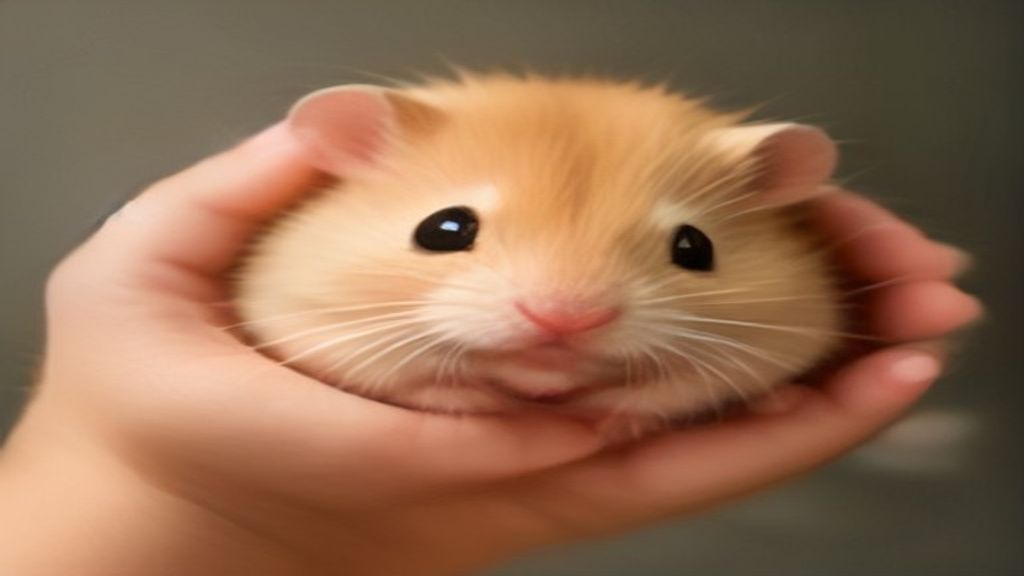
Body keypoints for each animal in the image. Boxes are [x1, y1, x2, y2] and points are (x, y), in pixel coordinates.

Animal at [233, 74, 844, 433]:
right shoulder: (310, 318)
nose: (564, 320)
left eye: (694, 247)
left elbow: (665, 393)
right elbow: (413, 381)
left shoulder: (778, 338)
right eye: (442, 229)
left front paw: (592, 412)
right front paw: (493, 405)